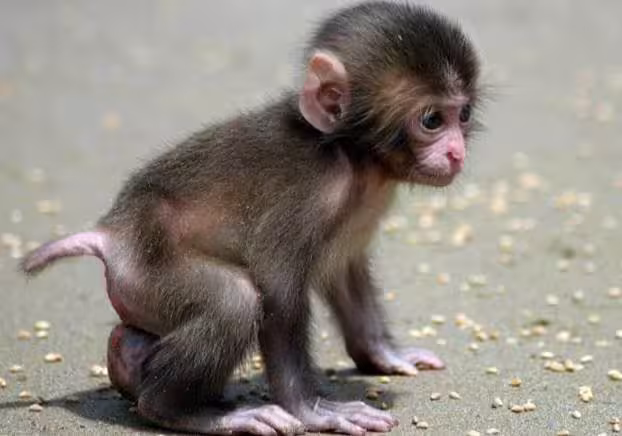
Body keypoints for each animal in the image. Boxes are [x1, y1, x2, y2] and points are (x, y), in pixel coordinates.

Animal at [20, 2, 481, 435]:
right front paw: (312, 410)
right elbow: (277, 288)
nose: (457, 152)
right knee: (235, 301)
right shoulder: (310, 195)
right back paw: (183, 411)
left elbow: (344, 272)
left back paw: (129, 363)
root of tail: (112, 234)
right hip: (148, 270)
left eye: (463, 115)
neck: (351, 154)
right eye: (432, 120)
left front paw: (384, 355)